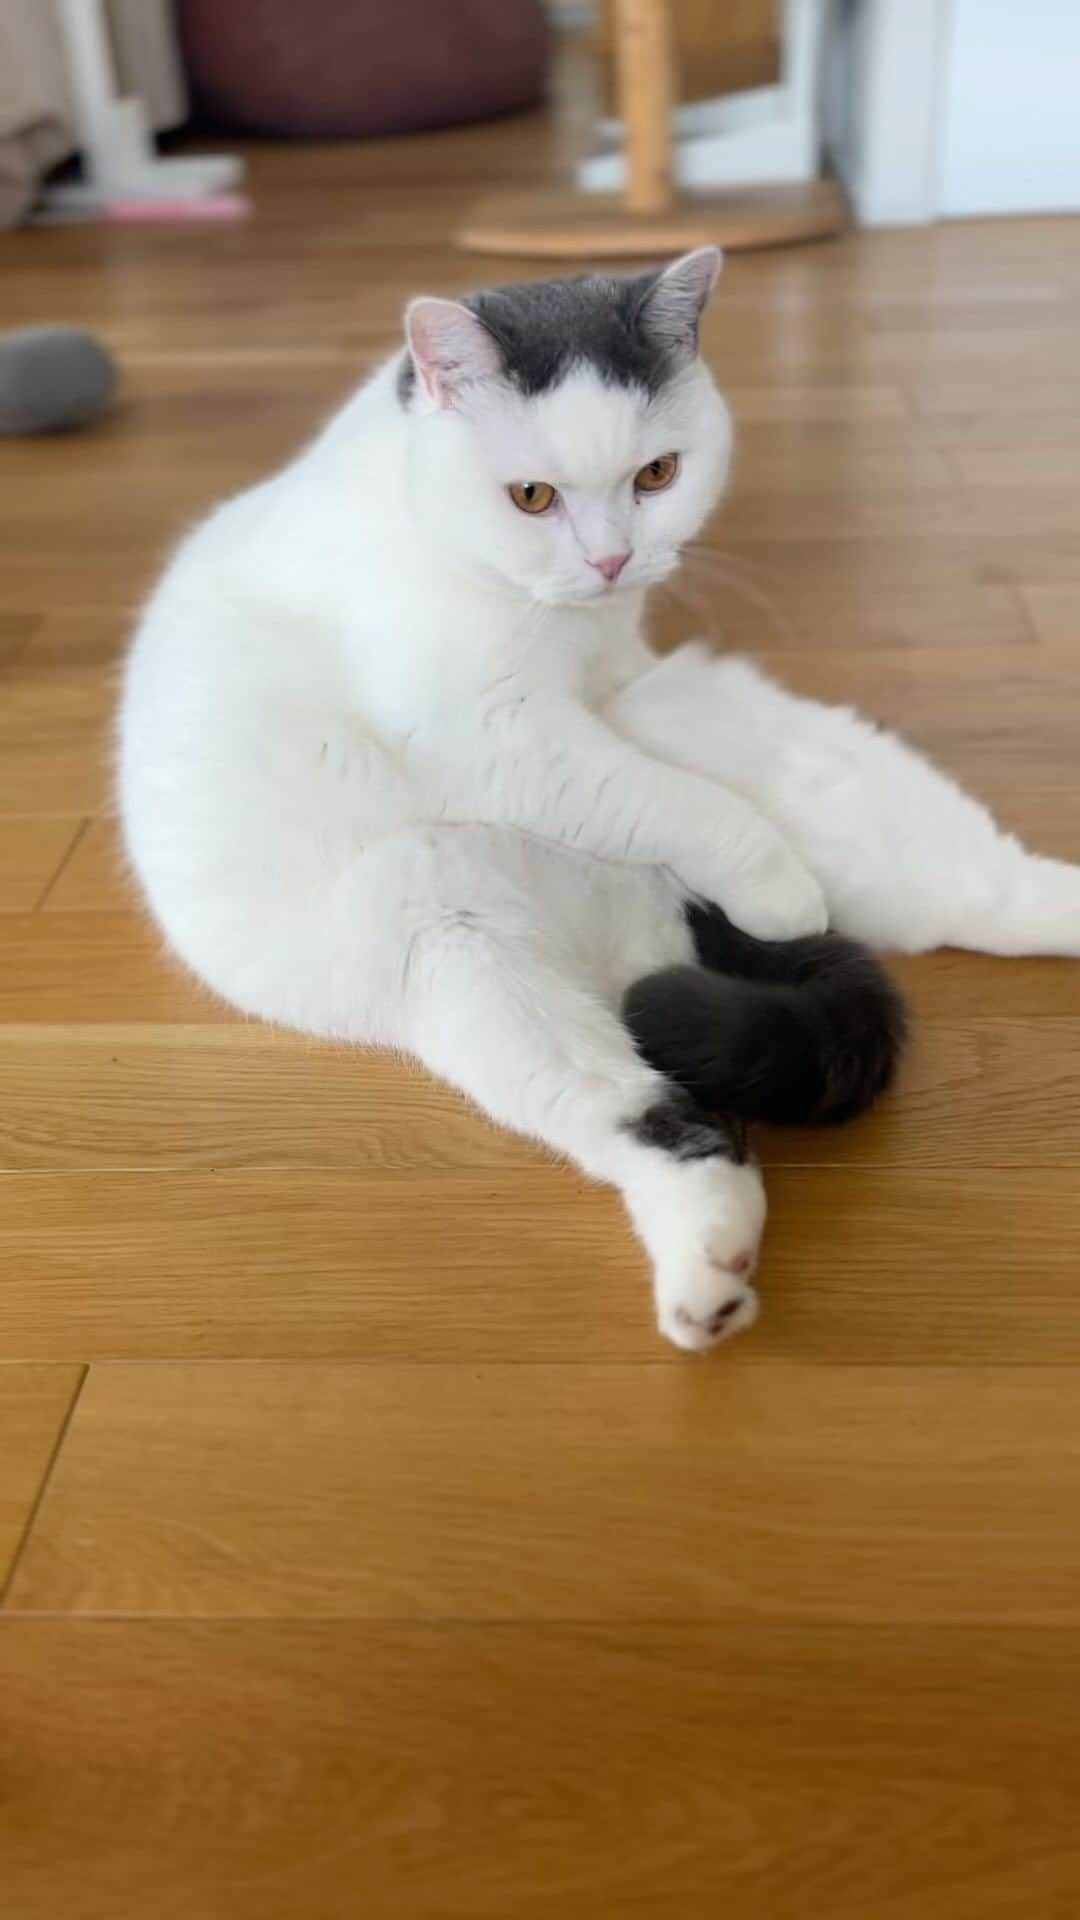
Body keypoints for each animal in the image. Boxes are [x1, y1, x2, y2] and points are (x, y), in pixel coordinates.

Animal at [117, 251, 1076, 1351]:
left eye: (657, 475)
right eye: (531, 495)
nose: (613, 559)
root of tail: (649, 933)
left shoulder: (623, 686)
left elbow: (662, 776)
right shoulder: (495, 733)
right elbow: (665, 799)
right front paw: (775, 886)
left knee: (979, 890)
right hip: (457, 950)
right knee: (665, 1123)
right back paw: (709, 1277)